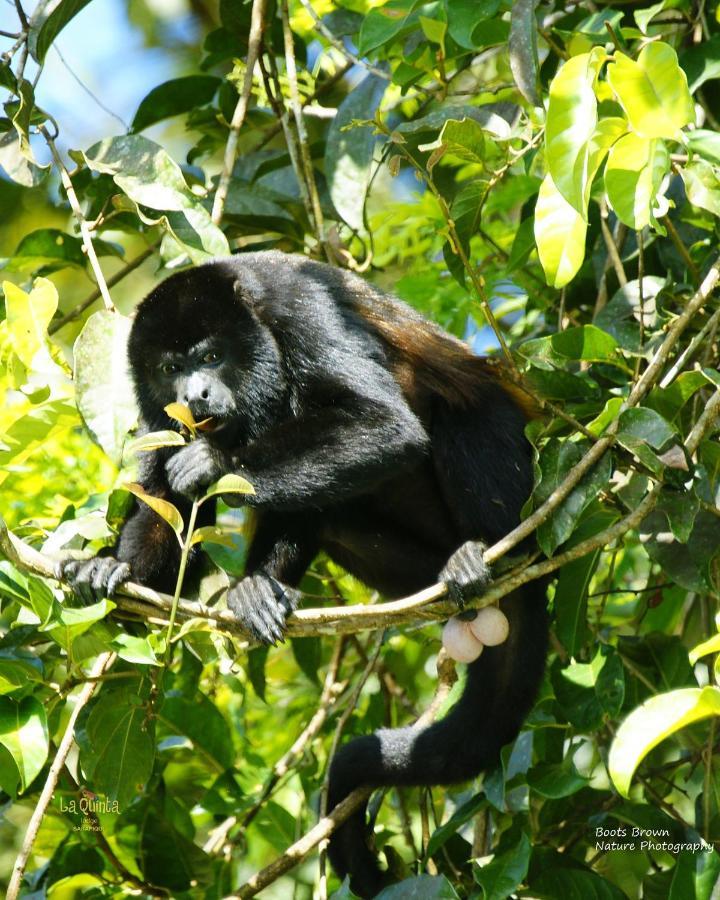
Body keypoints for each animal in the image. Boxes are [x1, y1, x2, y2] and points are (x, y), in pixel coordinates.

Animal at [63, 253, 544, 900]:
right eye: (170, 368)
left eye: (210, 357)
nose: (195, 393)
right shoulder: (158, 414)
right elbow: (164, 501)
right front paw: (110, 568)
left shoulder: (302, 307)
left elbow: (384, 426)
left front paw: (212, 464)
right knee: (324, 504)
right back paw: (259, 592)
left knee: (458, 410)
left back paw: (487, 554)